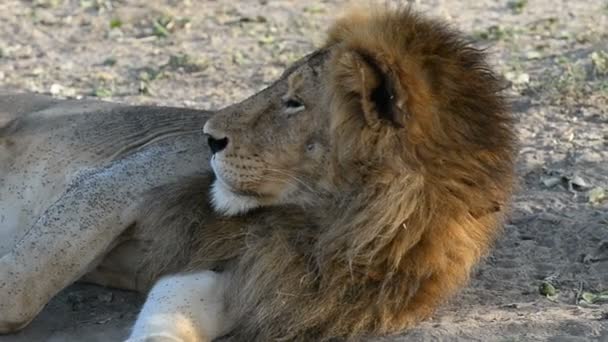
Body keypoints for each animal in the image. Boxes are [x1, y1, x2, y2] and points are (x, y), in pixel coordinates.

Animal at [0, 6, 516, 342]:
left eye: (294, 102)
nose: (209, 137)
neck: (325, 227)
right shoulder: (130, 173)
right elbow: (22, 286)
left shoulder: (243, 275)